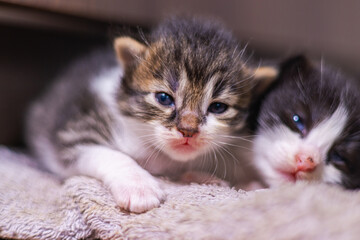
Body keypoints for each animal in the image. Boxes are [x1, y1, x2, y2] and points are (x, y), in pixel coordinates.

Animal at [26, 17, 274, 212]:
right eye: (164, 98)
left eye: (218, 107)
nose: (188, 130)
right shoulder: (74, 131)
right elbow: (110, 154)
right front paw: (138, 186)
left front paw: (205, 178)